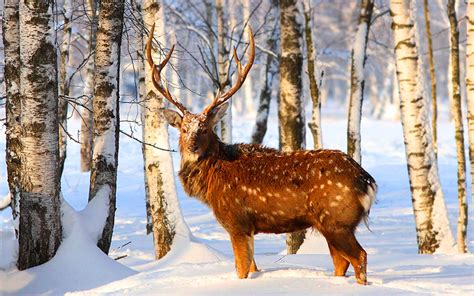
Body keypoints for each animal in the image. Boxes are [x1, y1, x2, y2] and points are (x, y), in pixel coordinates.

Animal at [146, 23, 376, 284]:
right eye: (183, 129)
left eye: (205, 128)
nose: (193, 146)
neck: (212, 183)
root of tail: (367, 180)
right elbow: (252, 267)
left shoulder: (237, 221)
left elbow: (241, 269)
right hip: (330, 224)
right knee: (341, 262)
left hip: (337, 219)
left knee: (359, 256)